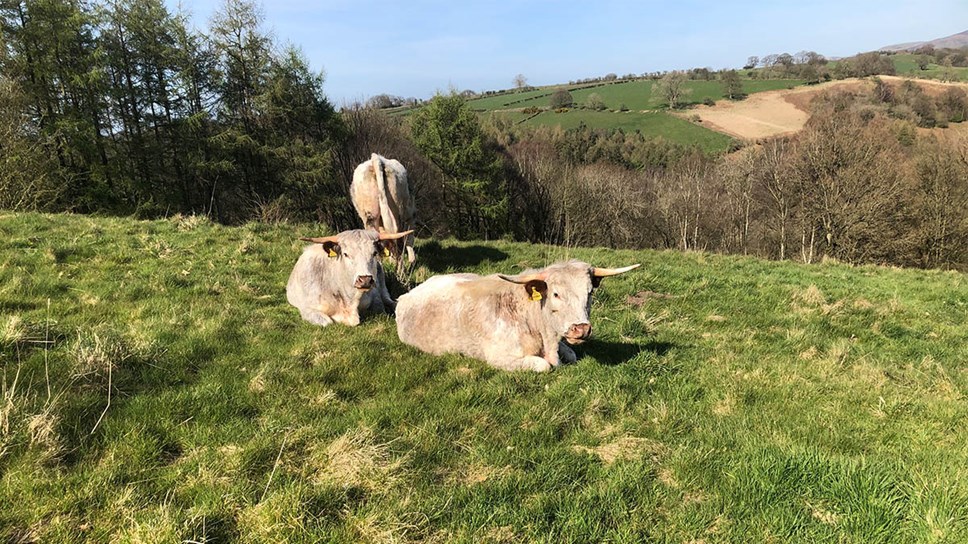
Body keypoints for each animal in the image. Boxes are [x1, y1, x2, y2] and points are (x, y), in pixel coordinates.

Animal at [284, 227, 412, 326]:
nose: (365, 280)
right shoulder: (307, 309)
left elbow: (380, 309)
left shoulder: (376, 296)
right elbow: (327, 322)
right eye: (346, 254)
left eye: (374, 253)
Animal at [398, 258, 640, 370]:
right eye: (556, 293)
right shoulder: (500, 358)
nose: (581, 329)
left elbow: (571, 354)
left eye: (590, 293)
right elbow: (544, 365)